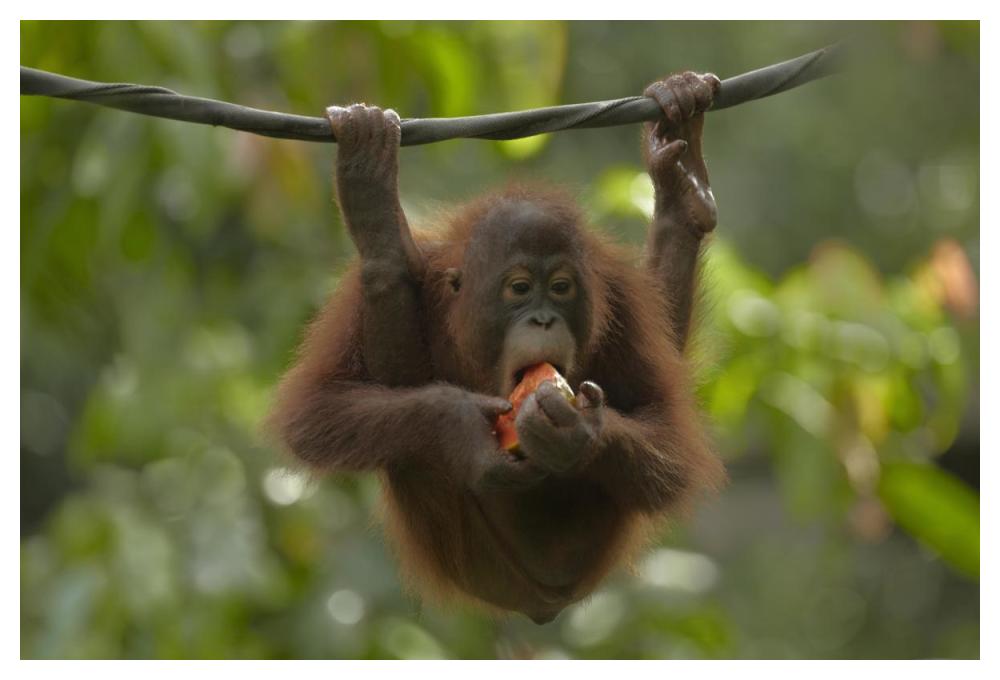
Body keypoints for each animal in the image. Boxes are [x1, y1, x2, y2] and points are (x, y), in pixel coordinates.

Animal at [269, 72, 725, 624]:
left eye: (562, 288)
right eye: (520, 288)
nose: (544, 318)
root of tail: (539, 603)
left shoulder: (622, 297)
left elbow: (670, 437)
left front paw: (577, 434)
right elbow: (315, 412)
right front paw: (461, 424)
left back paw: (683, 187)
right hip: (470, 556)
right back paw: (378, 224)